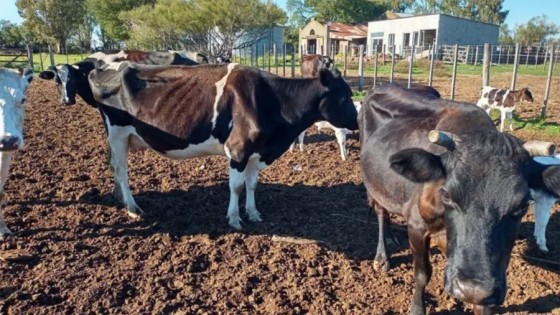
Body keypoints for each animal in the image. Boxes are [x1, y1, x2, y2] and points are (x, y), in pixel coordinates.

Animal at [88, 61, 358, 230]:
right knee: (121, 170)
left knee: (113, 166)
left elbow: (252, 184)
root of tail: (104, 68)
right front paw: (235, 218)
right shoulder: (239, 149)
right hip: (117, 132)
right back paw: (133, 207)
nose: (357, 121)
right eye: (344, 96)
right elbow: (236, 186)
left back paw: (120, 199)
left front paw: (253, 213)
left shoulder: (256, 152)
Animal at [360, 83, 556, 315]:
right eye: (446, 194)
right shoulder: (416, 225)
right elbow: (422, 274)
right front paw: (417, 308)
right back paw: (382, 257)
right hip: (374, 184)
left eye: (523, 205)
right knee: (381, 212)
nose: (471, 289)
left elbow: (482, 303)